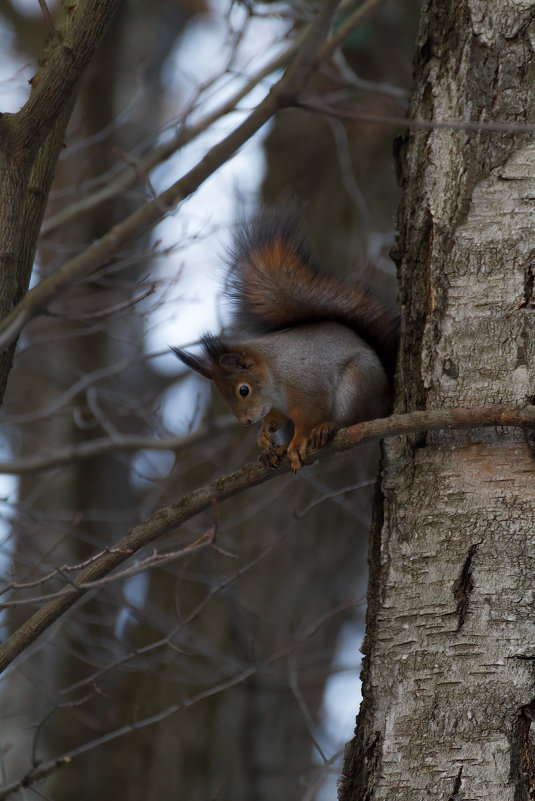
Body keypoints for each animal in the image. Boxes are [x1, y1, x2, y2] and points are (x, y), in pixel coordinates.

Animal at [172, 206, 398, 472]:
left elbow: (309, 415)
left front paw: (299, 439)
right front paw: (264, 433)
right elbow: (276, 419)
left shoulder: (306, 384)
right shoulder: (277, 406)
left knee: (355, 420)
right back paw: (276, 451)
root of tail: (387, 402)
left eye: (243, 390)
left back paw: (327, 428)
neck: (273, 377)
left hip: (358, 384)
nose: (247, 421)